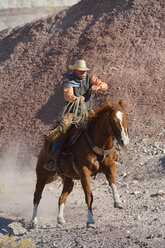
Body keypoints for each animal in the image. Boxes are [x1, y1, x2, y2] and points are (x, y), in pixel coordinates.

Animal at [30, 99, 129, 229]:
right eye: (112, 120)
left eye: (126, 118)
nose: (124, 141)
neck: (98, 143)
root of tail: (47, 142)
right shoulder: (84, 171)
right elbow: (89, 195)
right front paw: (90, 220)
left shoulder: (109, 166)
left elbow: (113, 182)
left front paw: (118, 202)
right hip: (42, 174)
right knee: (37, 196)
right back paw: (33, 221)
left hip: (69, 179)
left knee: (61, 197)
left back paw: (60, 219)